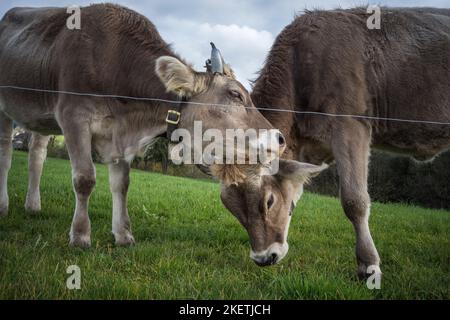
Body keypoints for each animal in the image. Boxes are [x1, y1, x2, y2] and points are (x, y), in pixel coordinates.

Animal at [0, 4, 284, 248]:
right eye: (236, 95)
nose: (279, 138)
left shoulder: (118, 135)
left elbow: (122, 184)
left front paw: (123, 234)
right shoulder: (73, 116)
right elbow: (84, 178)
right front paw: (80, 235)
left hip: (41, 119)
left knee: (36, 155)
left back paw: (33, 206)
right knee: (6, 156)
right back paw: (3, 205)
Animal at [222, 8, 450, 278]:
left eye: (269, 201)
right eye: (230, 206)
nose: (264, 258)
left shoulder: (351, 125)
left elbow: (354, 200)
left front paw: (368, 265)